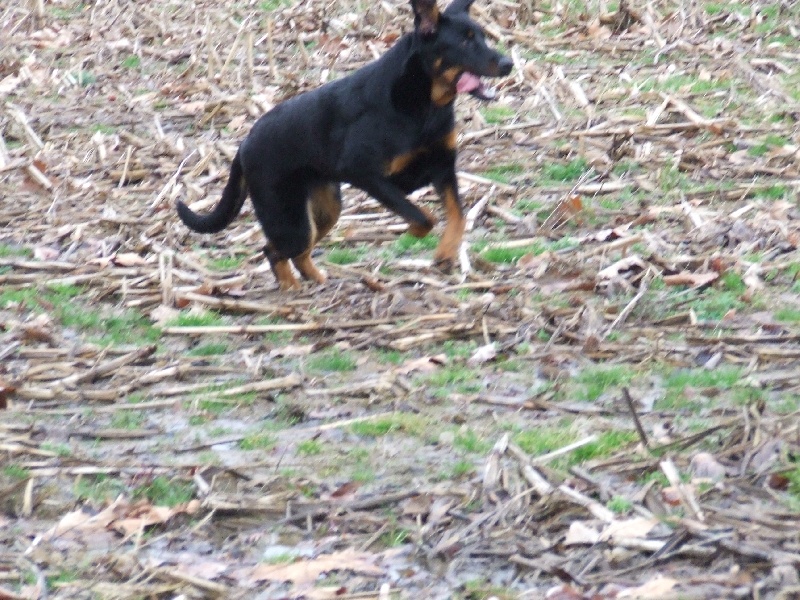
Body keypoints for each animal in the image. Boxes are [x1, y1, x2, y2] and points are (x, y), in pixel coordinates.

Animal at [176, 0, 512, 290]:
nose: (508, 63)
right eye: (465, 42)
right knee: (275, 249)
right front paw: (415, 232)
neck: (426, 103)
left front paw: (445, 253)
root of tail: (244, 145)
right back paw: (290, 287)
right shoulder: (365, 172)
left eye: (483, 36)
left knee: (292, 250)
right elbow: (423, 216)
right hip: (290, 216)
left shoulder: (443, 167)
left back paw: (316, 280)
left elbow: (458, 215)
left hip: (325, 210)